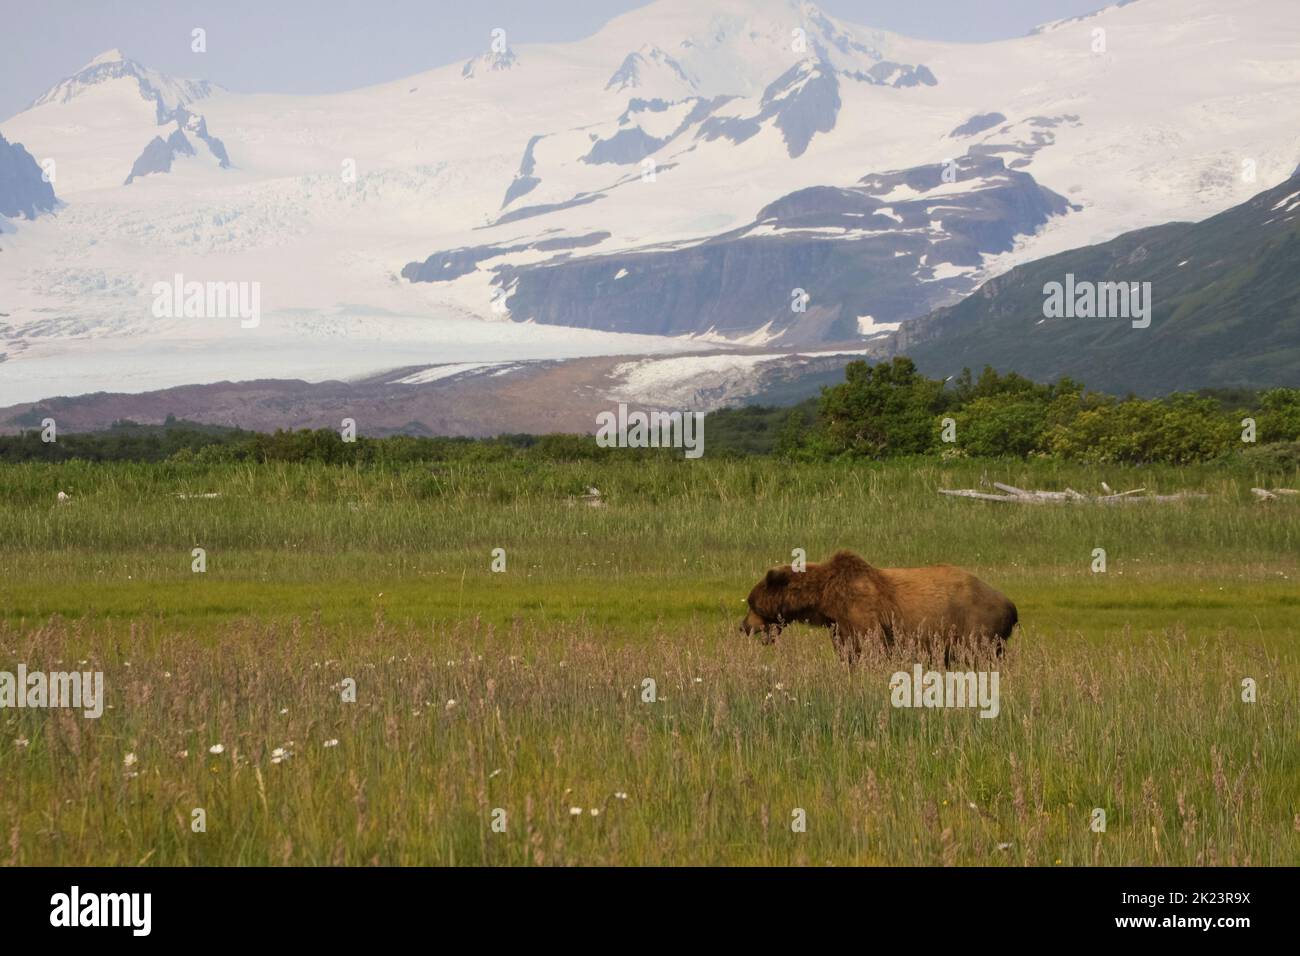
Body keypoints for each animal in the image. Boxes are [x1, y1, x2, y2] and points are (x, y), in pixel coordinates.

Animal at [743, 548, 1013, 660]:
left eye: (751, 604)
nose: (743, 626)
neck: (825, 600)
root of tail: (1009, 603)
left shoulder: (861, 613)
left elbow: (870, 646)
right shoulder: (839, 624)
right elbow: (847, 650)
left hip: (975, 626)